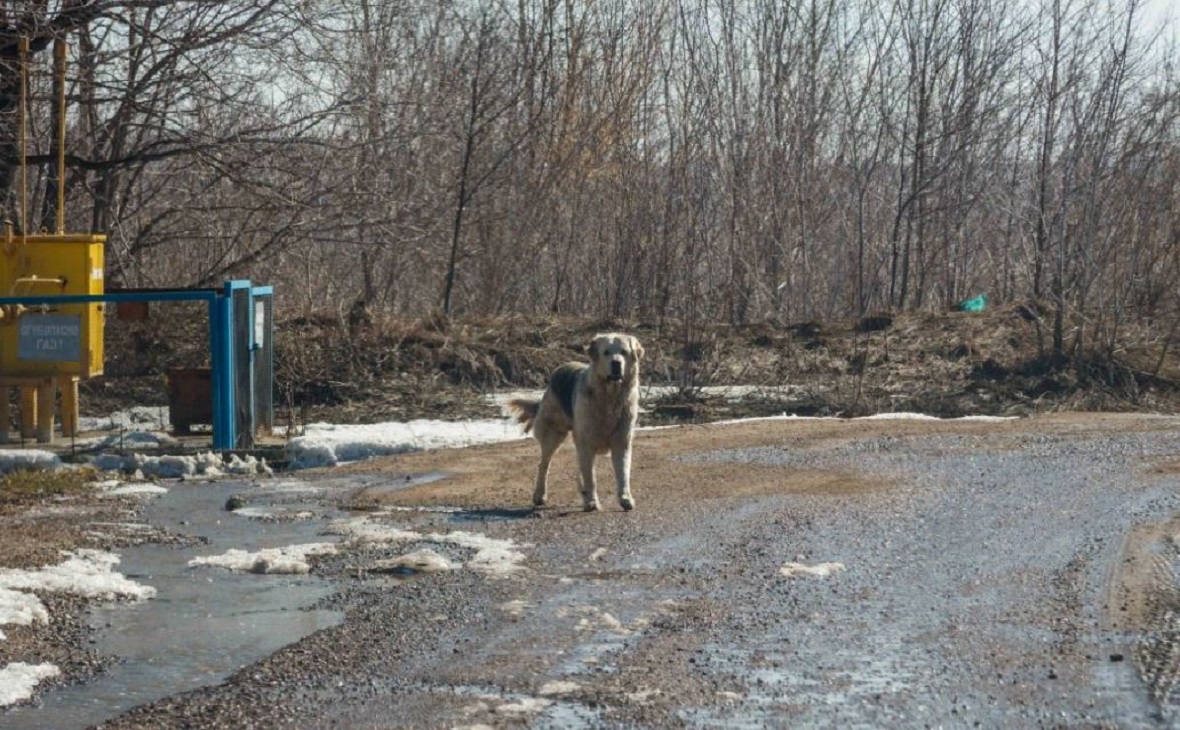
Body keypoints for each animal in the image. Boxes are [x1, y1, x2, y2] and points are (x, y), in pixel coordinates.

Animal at [507, 334, 646, 511]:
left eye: (624, 352)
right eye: (606, 352)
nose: (616, 363)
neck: (609, 398)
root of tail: (559, 369)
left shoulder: (621, 441)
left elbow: (623, 473)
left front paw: (625, 499)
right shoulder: (587, 443)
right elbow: (590, 477)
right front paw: (592, 502)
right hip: (553, 435)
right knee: (544, 465)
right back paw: (540, 495)